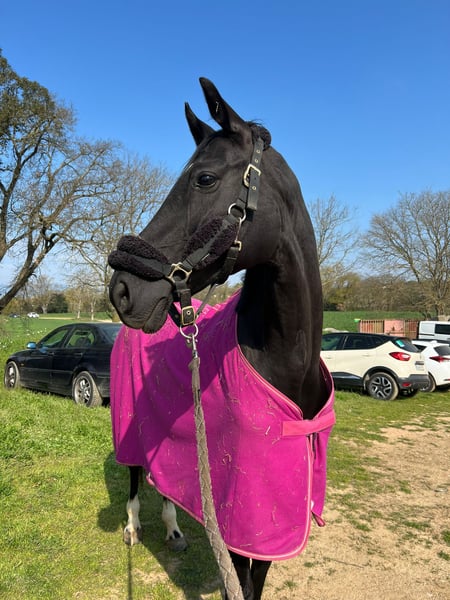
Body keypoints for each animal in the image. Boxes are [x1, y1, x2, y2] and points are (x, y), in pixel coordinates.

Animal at [108, 78, 334, 600]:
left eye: (205, 179)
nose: (122, 290)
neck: (284, 363)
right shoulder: (241, 517)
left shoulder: (267, 524)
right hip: (129, 426)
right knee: (134, 474)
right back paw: (132, 528)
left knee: (163, 480)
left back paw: (173, 530)